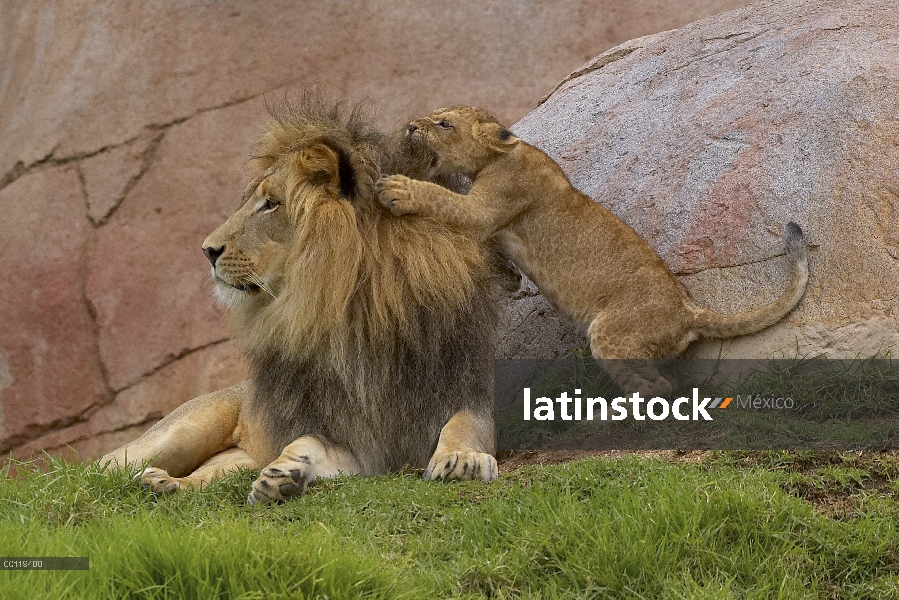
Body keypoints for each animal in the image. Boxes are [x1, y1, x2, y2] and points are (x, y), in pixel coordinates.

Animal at [103, 97, 506, 502]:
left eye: (270, 204)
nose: (207, 251)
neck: (359, 311)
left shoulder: (463, 389)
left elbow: (465, 423)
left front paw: (462, 458)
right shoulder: (343, 434)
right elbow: (307, 441)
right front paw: (284, 471)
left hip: (234, 459)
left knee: (206, 476)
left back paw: (164, 484)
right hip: (180, 430)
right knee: (102, 467)